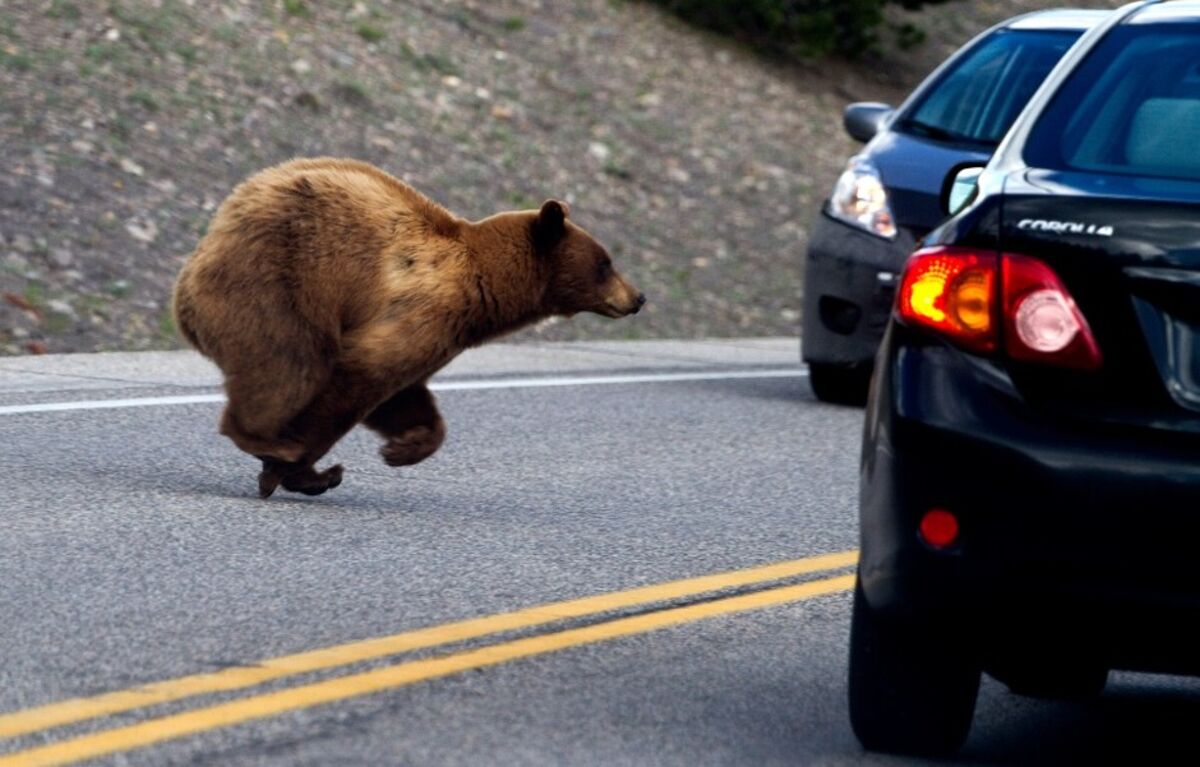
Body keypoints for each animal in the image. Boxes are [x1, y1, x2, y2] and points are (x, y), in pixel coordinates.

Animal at [172, 158, 643, 501]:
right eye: (605, 263)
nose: (638, 297)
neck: (486, 289)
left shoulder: (440, 334)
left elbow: (402, 394)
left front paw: (402, 449)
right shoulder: (426, 311)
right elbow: (359, 376)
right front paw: (304, 468)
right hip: (275, 284)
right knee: (289, 364)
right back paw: (267, 440)